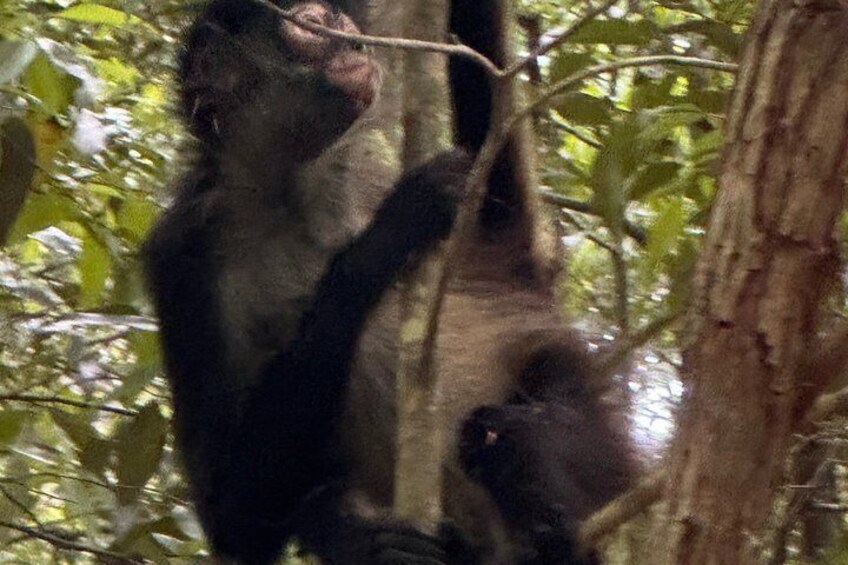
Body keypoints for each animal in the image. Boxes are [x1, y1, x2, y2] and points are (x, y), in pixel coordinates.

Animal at [143, 0, 637, 563]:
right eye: (314, 24)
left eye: (341, 19)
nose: (356, 41)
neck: (291, 193)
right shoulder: (180, 255)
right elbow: (233, 519)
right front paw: (389, 232)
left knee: (506, 428)